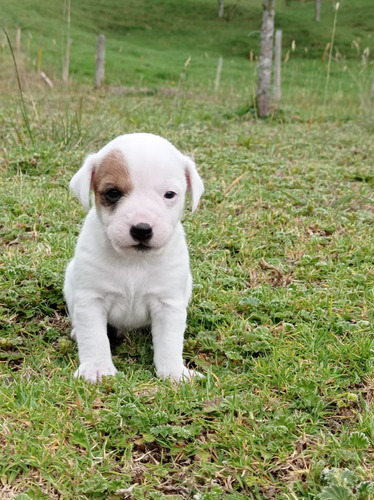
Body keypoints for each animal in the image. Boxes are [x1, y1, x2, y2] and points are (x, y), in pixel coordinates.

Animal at [64, 133, 205, 382]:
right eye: (113, 193)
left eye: (169, 194)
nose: (142, 229)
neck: (134, 262)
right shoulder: (91, 301)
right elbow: (94, 338)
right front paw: (97, 369)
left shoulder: (168, 304)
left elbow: (169, 343)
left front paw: (174, 373)